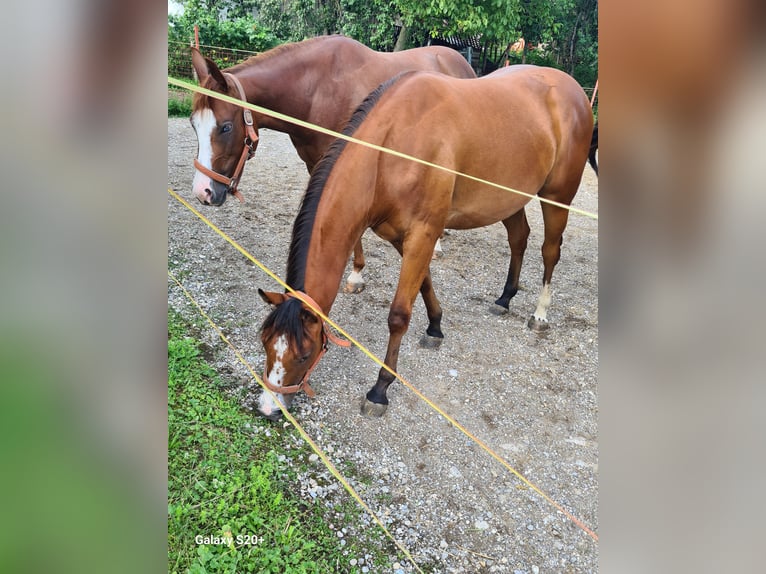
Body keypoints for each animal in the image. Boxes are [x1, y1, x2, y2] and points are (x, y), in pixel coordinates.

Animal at [188, 33, 474, 292]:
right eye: (193, 124)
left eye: (225, 127)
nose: (203, 192)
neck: (316, 90)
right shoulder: (315, 163)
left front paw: (356, 274)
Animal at [255, 65, 596, 420]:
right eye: (266, 343)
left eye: (304, 354)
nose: (268, 407)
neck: (391, 149)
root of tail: (573, 90)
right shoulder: (403, 235)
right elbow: (425, 284)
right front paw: (435, 327)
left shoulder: (423, 233)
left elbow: (398, 315)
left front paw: (380, 389)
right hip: (509, 200)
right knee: (519, 238)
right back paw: (504, 298)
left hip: (558, 197)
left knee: (550, 251)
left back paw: (540, 315)